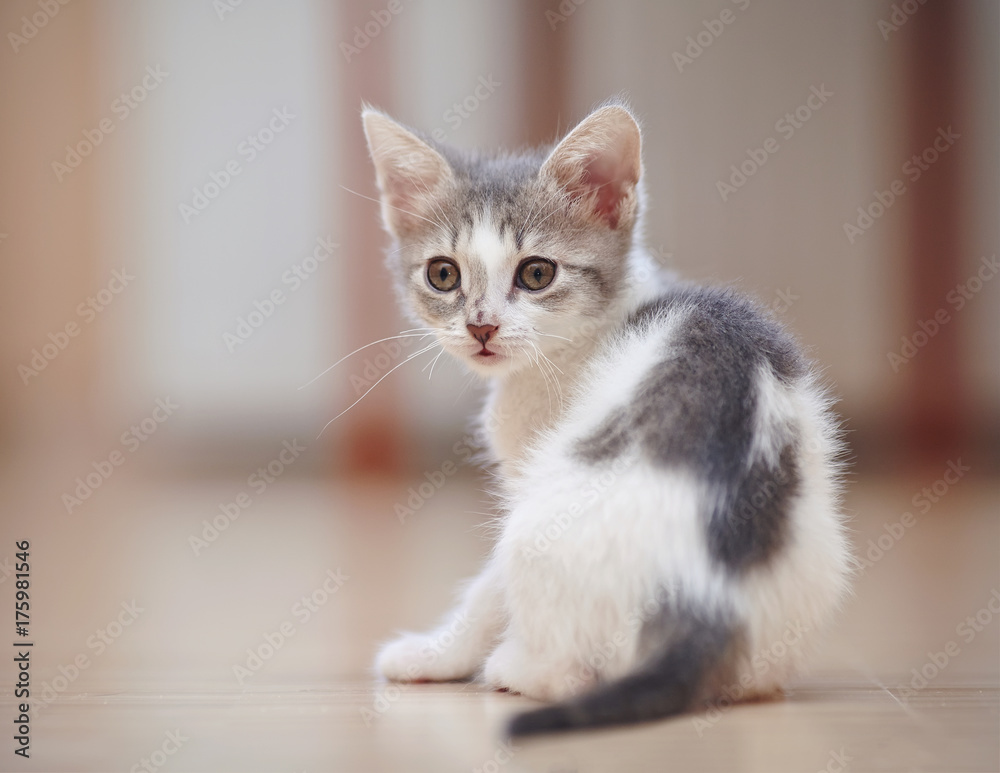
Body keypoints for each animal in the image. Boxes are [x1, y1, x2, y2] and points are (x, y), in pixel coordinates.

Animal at [360, 99, 852, 732]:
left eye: (536, 273)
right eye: (443, 274)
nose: (480, 327)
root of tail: (704, 596)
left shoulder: (528, 476)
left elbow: (485, 594)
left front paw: (433, 654)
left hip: (536, 527)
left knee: (569, 672)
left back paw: (514, 667)